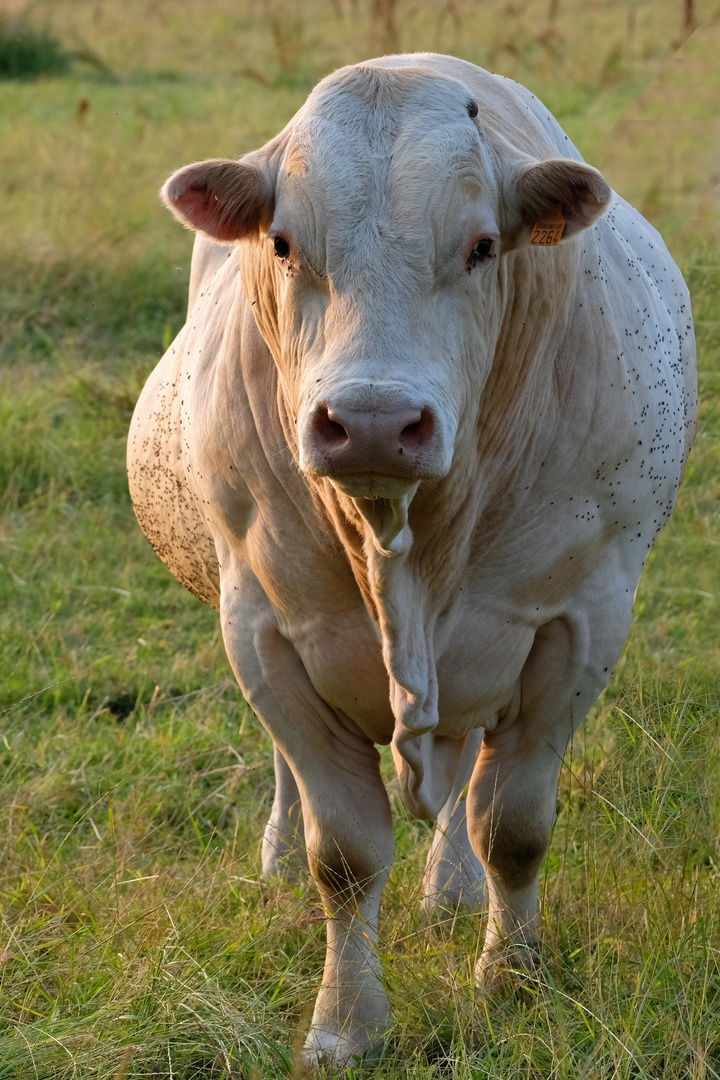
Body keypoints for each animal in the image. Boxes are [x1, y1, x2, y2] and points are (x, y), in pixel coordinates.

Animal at [126, 52, 695, 1062]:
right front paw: (346, 1022)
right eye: (283, 243)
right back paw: (279, 856)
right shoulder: (264, 631)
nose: (372, 423)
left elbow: (513, 823)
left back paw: (455, 890)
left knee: (466, 769)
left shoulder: (580, 622)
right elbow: (346, 853)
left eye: (481, 246)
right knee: (298, 782)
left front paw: (512, 977)